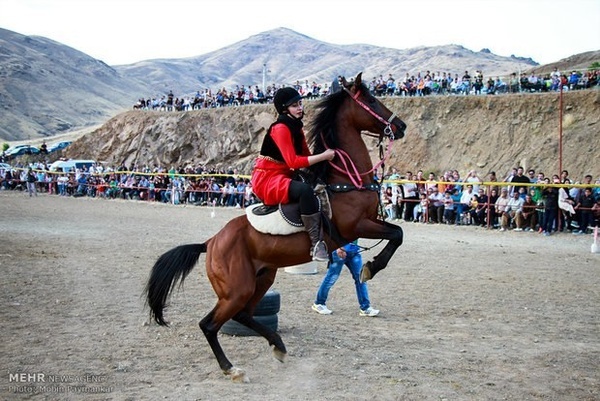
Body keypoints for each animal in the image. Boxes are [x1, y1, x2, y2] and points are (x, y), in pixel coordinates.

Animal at [145, 72, 408, 382]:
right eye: (371, 100)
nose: (400, 126)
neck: (344, 179)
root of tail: (211, 242)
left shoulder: (365, 224)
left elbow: (397, 233)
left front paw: (368, 268)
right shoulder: (357, 225)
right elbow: (397, 234)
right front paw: (371, 267)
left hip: (261, 278)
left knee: (244, 315)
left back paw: (278, 345)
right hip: (237, 289)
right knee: (209, 324)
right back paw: (231, 368)